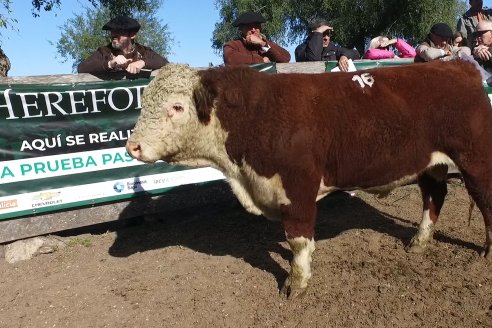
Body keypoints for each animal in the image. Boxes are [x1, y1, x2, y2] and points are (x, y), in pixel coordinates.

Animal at [126, 60, 492, 298]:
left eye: (176, 107)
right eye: (144, 102)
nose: (132, 146)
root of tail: (456, 65)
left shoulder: (298, 186)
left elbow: (298, 240)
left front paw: (296, 284)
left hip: (475, 158)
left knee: (485, 200)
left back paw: (487, 251)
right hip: (430, 164)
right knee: (434, 197)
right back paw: (419, 242)